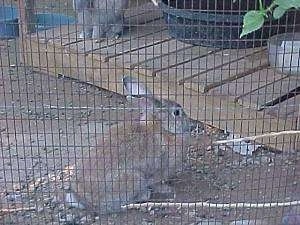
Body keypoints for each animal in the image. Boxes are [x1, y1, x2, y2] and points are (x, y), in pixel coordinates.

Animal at [65, 76, 211, 216]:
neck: (163, 128)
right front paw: (167, 189)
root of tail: (81, 199)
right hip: (133, 178)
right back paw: (143, 194)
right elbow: (156, 182)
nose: (190, 125)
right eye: (177, 113)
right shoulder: (158, 169)